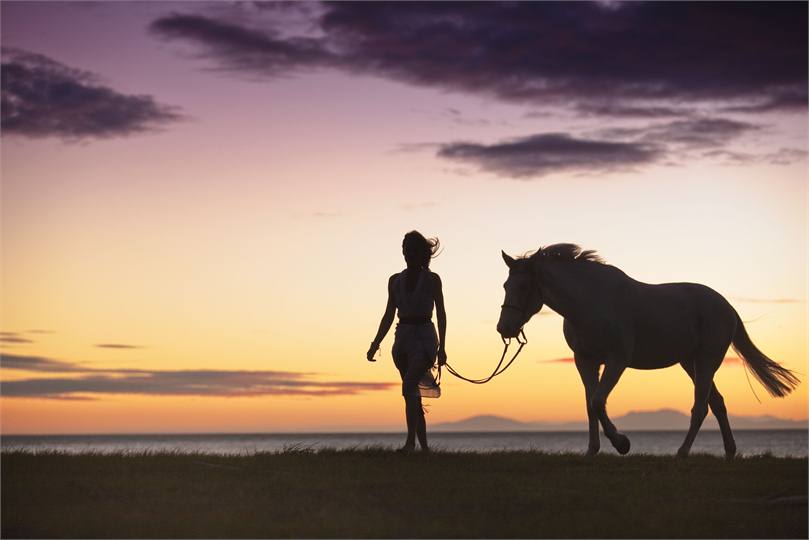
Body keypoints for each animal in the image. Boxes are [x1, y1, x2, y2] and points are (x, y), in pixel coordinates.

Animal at [496, 243, 799, 459]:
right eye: (505, 285)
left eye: (523, 285)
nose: (504, 328)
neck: (589, 301)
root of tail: (726, 306)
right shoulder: (585, 361)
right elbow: (590, 404)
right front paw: (592, 451)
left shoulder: (617, 360)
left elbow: (597, 401)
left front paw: (622, 443)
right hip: (690, 363)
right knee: (717, 403)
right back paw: (729, 452)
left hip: (706, 361)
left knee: (701, 407)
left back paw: (682, 453)